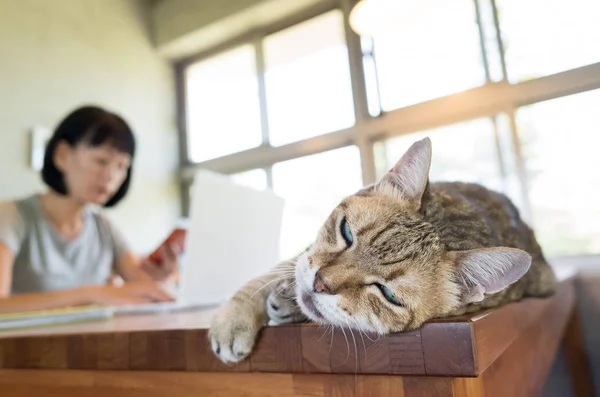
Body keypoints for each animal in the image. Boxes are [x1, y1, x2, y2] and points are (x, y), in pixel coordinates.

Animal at [209, 135, 556, 362]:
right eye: (346, 231)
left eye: (388, 294)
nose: (320, 284)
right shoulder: (302, 255)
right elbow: (261, 279)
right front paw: (233, 320)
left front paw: (286, 301)